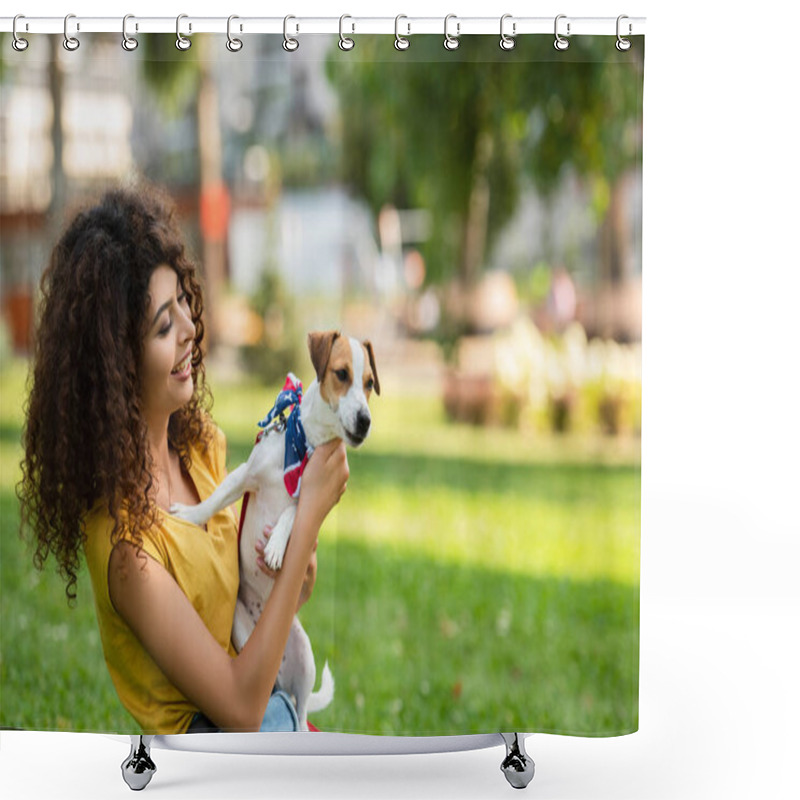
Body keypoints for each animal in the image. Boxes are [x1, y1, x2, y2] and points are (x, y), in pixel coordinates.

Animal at [170, 332, 382, 732]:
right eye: (342, 374)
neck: (304, 442)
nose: (365, 421)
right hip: (242, 634)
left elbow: (290, 514)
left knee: (301, 712)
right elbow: (214, 500)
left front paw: (276, 546)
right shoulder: (243, 475)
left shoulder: (310, 500)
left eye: (368, 384)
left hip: (305, 656)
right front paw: (189, 515)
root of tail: (280, 672)